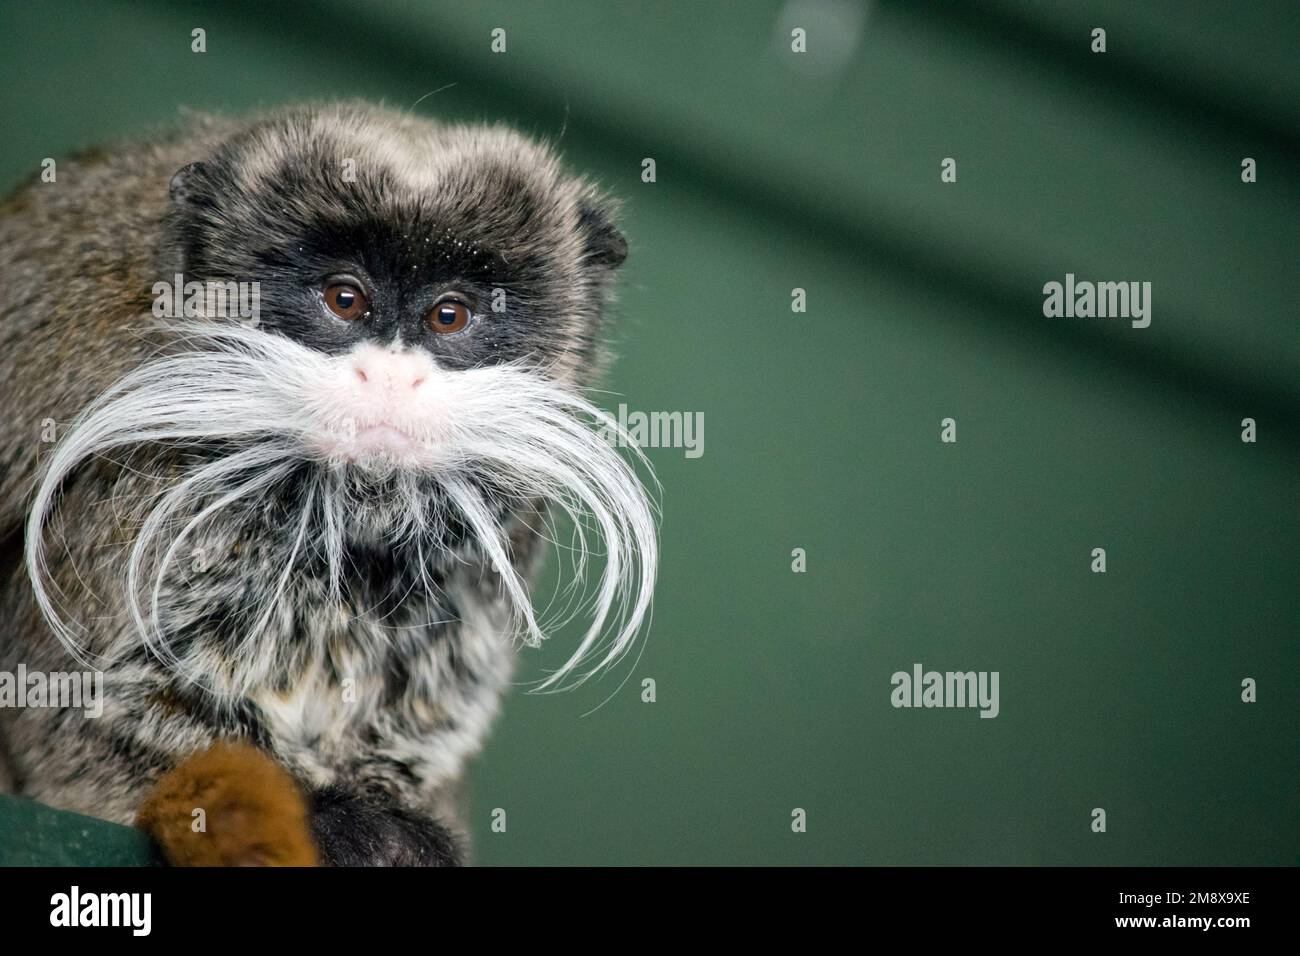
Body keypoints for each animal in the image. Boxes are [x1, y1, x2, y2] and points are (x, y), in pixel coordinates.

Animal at [0, 104, 655, 868]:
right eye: (345, 300)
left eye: (450, 315)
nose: (389, 379)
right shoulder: (130, 480)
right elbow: (75, 710)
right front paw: (331, 816)